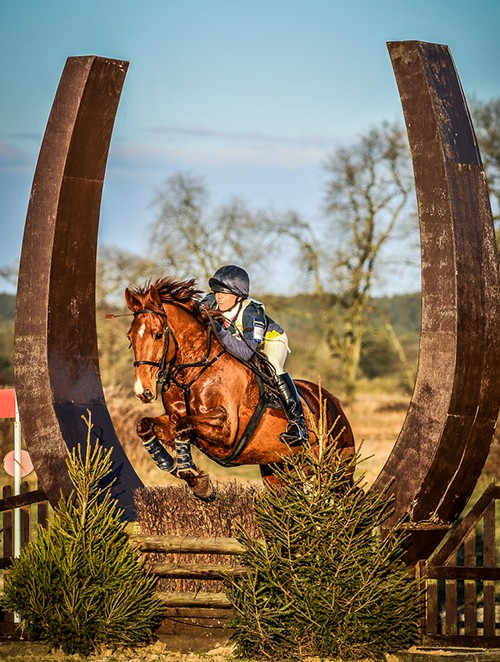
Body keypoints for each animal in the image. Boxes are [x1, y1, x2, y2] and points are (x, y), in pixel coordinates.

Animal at [124, 278, 356, 500]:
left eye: (157, 335)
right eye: (130, 337)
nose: (142, 391)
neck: (192, 372)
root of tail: (332, 400)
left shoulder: (227, 429)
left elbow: (183, 425)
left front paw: (193, 477)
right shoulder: (173, 418)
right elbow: (145, 425)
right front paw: (171, 466)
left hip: (337, 467)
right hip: (280, 472)